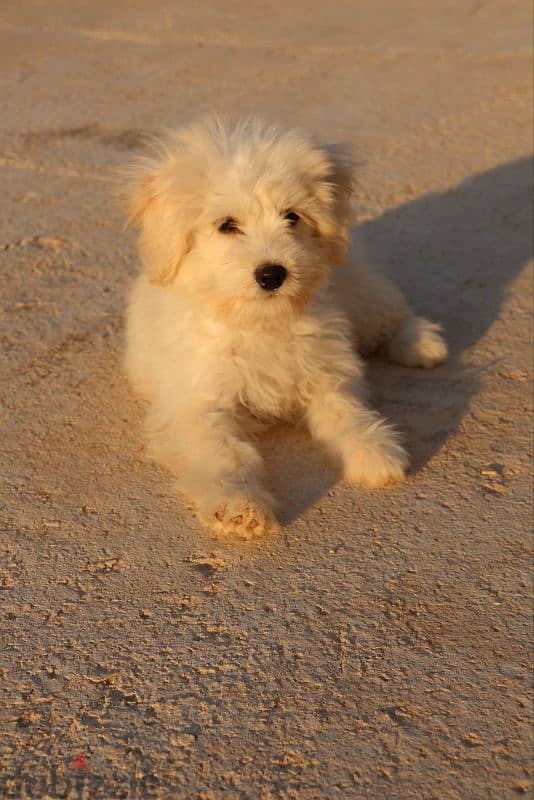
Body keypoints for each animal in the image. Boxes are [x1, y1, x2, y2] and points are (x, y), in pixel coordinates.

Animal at [122, 117, 448, 536]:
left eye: (291, 216)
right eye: (227, 225)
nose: (272, 274)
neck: (258, 321)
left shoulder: (325, 367)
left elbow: (344, 410)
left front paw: (372, 449)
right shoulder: (199, 404)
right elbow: (224, 454)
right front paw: (239, 506)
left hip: (360, 292)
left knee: (390, 314)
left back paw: (422, 343)